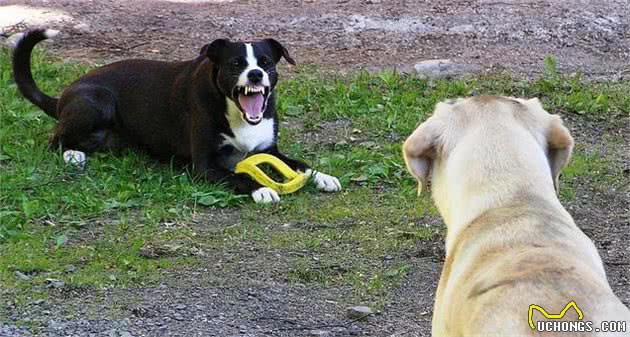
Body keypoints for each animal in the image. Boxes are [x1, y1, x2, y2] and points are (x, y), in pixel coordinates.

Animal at [13, 28, 340, 201]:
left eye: (266, 62)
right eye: (236, 63)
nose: (256, 74)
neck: (235, 113)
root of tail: (62, 97)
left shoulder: (269, 150)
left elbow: (300, 165)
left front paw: (322, 176)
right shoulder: (205, 166)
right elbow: (239, 175)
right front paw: (261, 188)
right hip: (97, 101)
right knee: (55, 140)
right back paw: (73, 155)